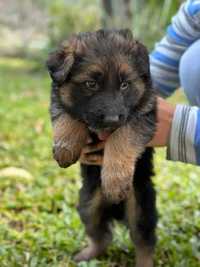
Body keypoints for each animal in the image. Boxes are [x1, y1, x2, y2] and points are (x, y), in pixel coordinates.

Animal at [47, 29, 158, 267]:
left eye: (125, 85)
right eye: (91, 84)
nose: (112, 119)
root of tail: (114, 210)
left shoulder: (143, 114)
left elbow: (122, 137)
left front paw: (114, 181)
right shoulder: (61, 101)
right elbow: (68, 115)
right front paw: (65, 148)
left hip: (140, 208)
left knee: (144, 242)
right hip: (88, 204)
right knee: (101, 236)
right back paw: (88, 254)